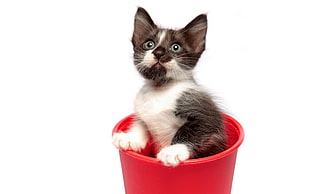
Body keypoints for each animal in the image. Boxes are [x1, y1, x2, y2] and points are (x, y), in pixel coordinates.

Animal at [111, 7, 225, 167]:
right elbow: (141, 122)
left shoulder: (208, 114)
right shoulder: (142, 110)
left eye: (175, 47)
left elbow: (193, 129)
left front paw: (173, 151)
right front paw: (130, 138)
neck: (160, 88)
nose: (158, 52)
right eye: (149, 44)